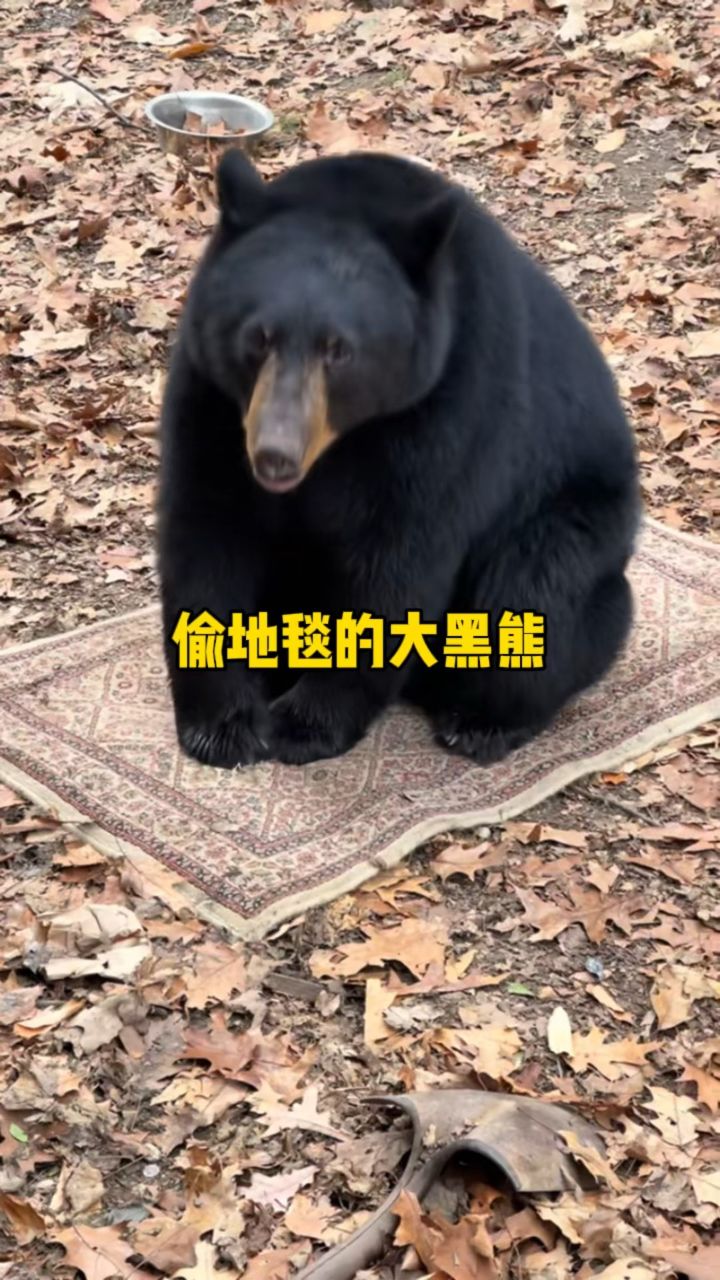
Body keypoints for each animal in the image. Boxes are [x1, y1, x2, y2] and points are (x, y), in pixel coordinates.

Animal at [157, 148, 640, 770]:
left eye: (338, 350)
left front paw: (303, 724)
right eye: (258, 337)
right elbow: (208, 530)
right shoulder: (213, 403)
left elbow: (395, 559)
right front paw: (221, 724)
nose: (274, 455)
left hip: (575, 516)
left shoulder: (450, 403)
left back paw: (482, 719)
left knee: (535, 593)